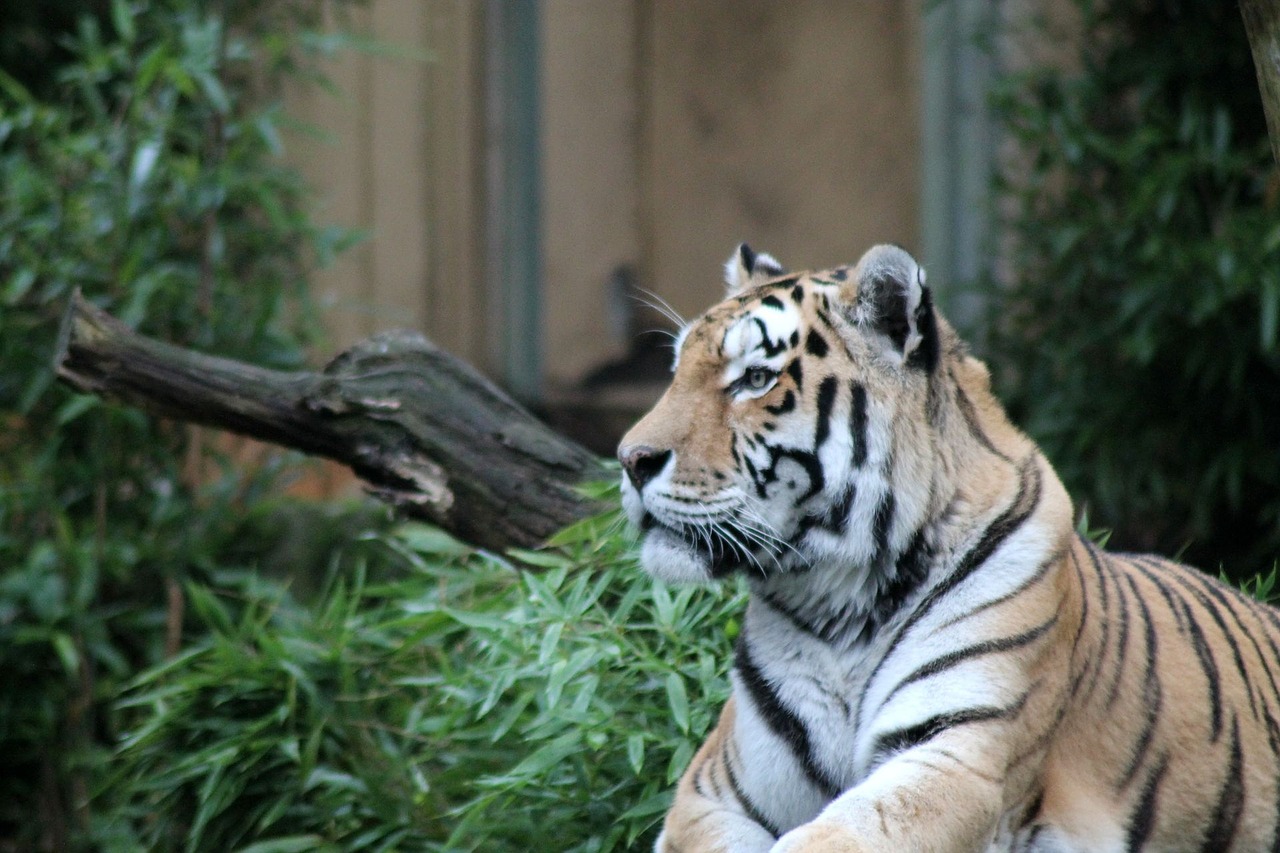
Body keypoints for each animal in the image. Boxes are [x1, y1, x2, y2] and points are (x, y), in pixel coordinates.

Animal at [614, 242, 1280, 845]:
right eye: (675, 372)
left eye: (755, 379)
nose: (629, 459)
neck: (836, 605)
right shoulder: (713, 789)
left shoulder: (957, 757)